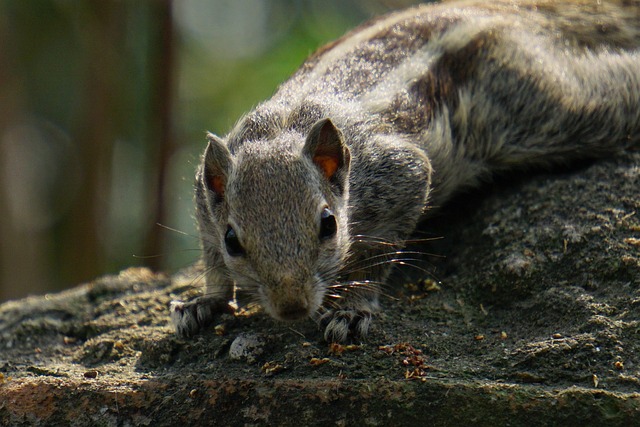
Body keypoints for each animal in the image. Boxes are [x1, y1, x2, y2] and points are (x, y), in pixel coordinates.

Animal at [170, 0, 640, 342]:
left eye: (329, 225)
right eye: (233, 241)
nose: (293, 307)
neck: (282, 129)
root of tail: (504, 10)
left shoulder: (399, 175)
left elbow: (377, 254)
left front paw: (353, 308)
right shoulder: (202, 198)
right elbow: (212, 264)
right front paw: (203, 303)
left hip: (547, 106)